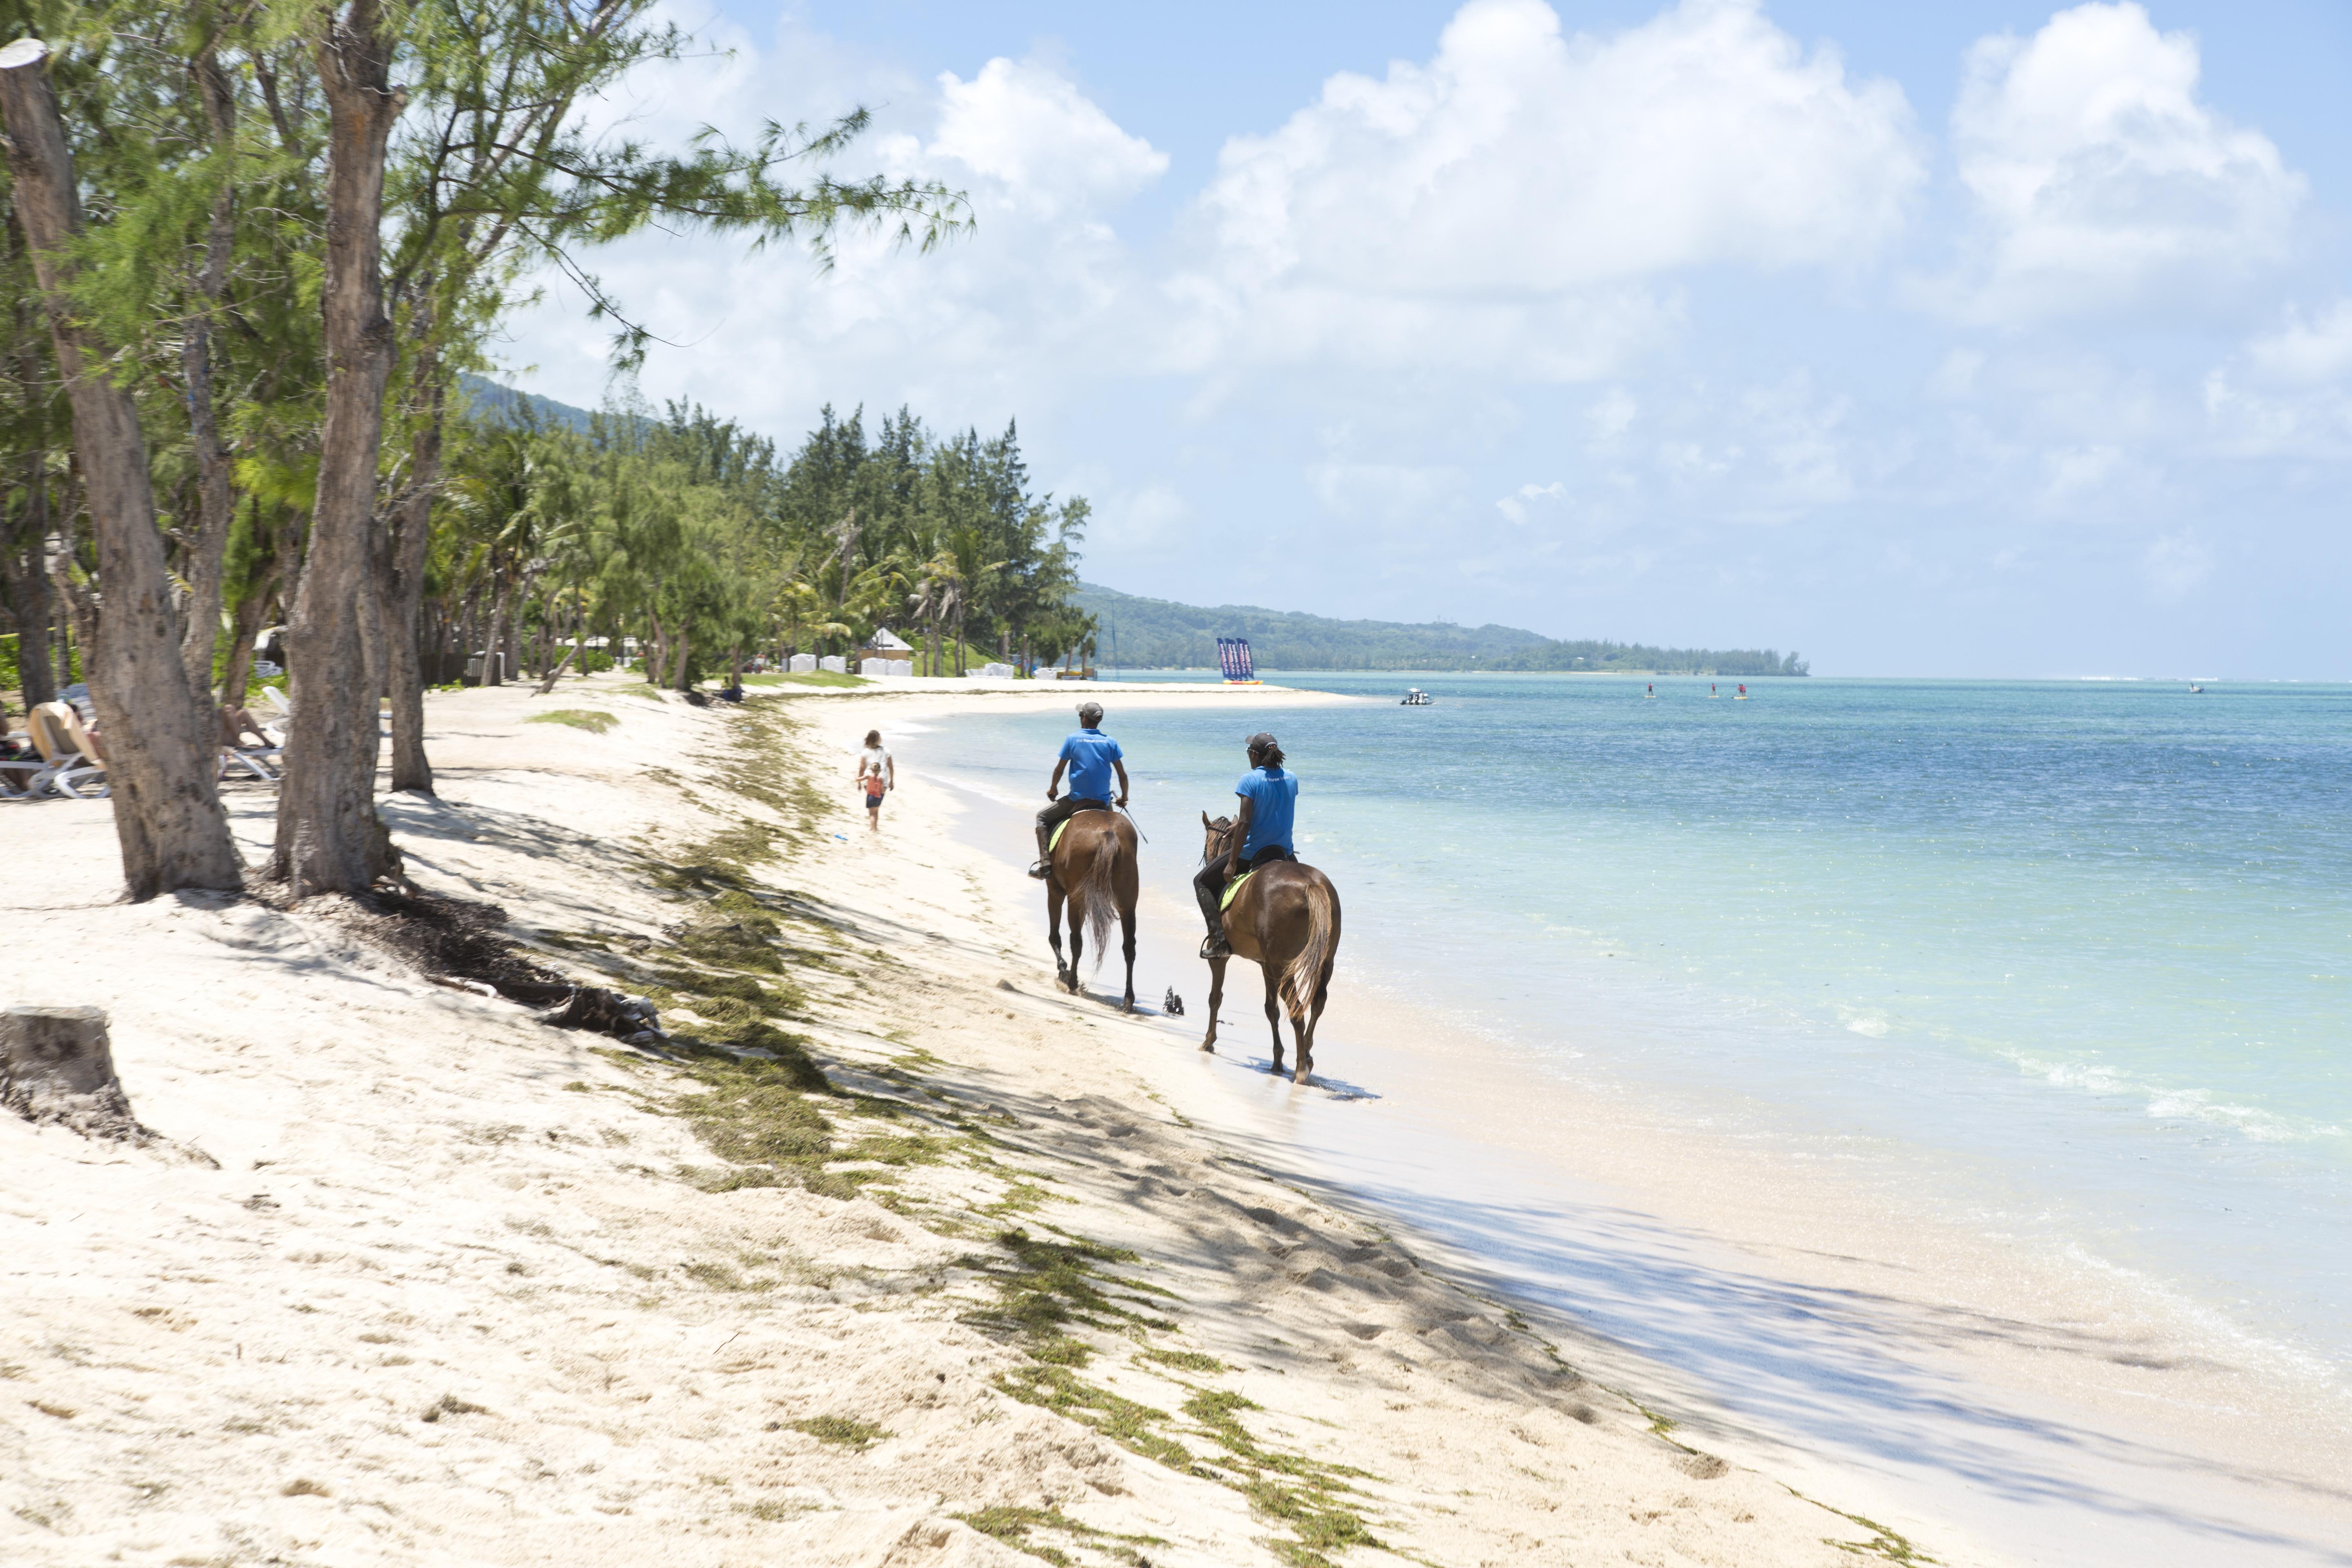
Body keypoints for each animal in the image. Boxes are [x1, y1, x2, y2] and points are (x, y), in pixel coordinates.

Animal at [1049, 804, 1138, 1011]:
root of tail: (1107, 833)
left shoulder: (1055, 891)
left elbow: (1055, 936)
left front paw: (1062, 969)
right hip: (1128, 904)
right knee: (1129, 948)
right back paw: (1129, 999)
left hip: (1076, 900)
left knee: (1076, 941)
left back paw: (1072, 983)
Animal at [1204, 818, 1336, 1086]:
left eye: (1208, 845)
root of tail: (1312, 884)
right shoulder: (1265, 965)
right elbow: (1270, 1010)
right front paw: (1277, 1060)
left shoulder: (1221, 957)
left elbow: (1216, 997)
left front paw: (1209, 1041)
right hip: (1321, 963)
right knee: (1317, 1004)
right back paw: (1307, 1055)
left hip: (1282, 968)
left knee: (1297, 1010)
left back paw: (1301, 1069)